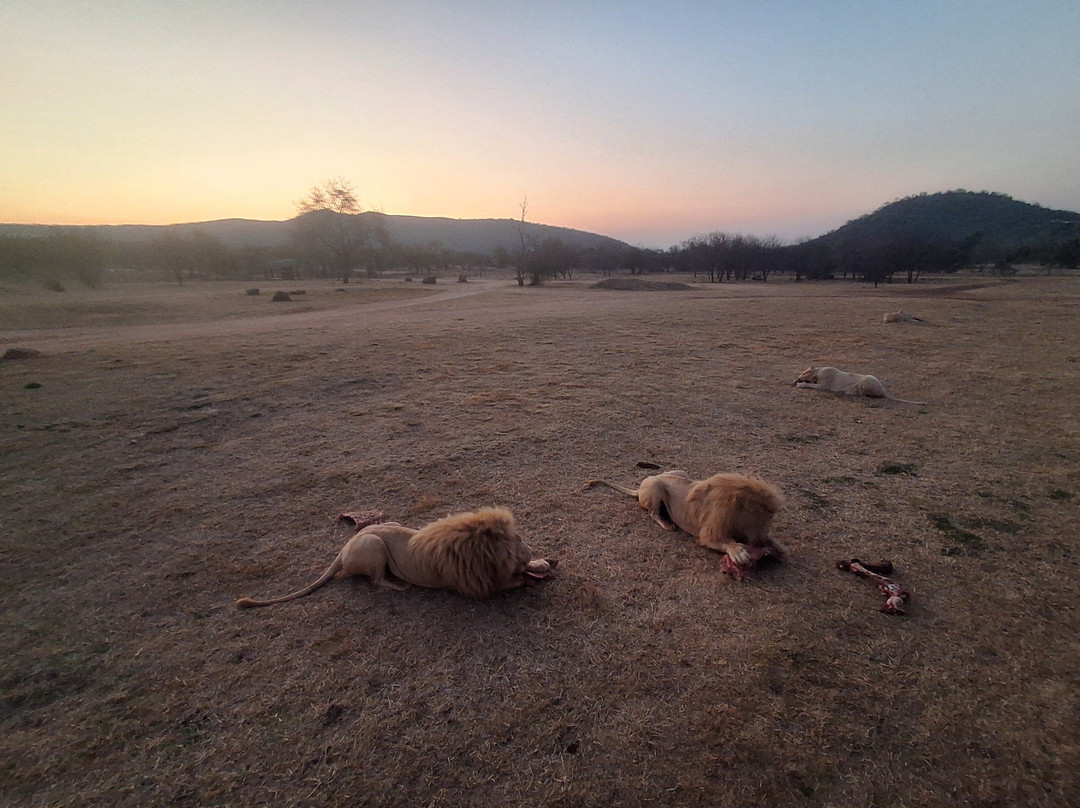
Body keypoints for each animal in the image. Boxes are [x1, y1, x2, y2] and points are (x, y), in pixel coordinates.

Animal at [236, 507, 556, 608]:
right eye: (518, 540)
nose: (529, 551)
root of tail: (345, 547)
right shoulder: (476, 584)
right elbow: (513, 581)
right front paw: (533, 572)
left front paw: (542, 562)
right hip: (374, 545)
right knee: (376, 581)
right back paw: (398, 586)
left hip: (385, 527)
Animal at [586, 470, 783, 567]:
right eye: (762, 516)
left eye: (770, 517)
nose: (761, 541)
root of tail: (639, 489)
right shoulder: (709, 534)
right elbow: (725, 541)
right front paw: (739, 552)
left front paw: (776, 546)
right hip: (655, 486)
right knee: (653, 513)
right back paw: (667, 524)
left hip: (681, 473)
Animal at [794, 366, 925, 405]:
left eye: (804, 372)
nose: (797, 378)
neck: (818, 372)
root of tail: (883, 390)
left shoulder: (825, 385)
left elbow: (812, 385)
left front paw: (801, 384)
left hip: (865, 380)